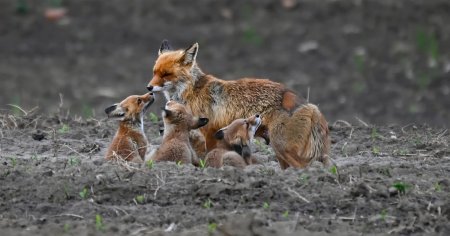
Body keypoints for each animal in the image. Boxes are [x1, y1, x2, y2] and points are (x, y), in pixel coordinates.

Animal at [148, 41, 330, 170]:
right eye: (154, 72)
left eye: (166, 74)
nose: (149, 88)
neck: (190, 91)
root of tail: (310, 105)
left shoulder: (209, 133)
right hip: (280, 151)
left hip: (282, 147)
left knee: (304, 167)